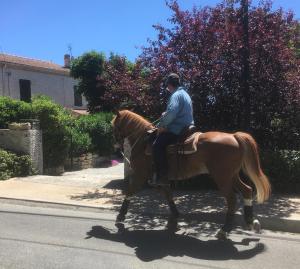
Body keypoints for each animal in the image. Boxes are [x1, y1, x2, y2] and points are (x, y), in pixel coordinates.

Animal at [111, 110, 270, 238]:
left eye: (114, 126)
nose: (115, 146)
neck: (143, 142)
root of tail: (234, 136)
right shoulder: (162, 179)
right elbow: (168, 195)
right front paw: (175, 216)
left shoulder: (140, 175)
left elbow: (129, 192)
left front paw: (120, 216)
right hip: (232, 175)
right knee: (247, 190)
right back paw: (251, 222)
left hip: (222, 177)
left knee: (231, 199)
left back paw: (224, 230)